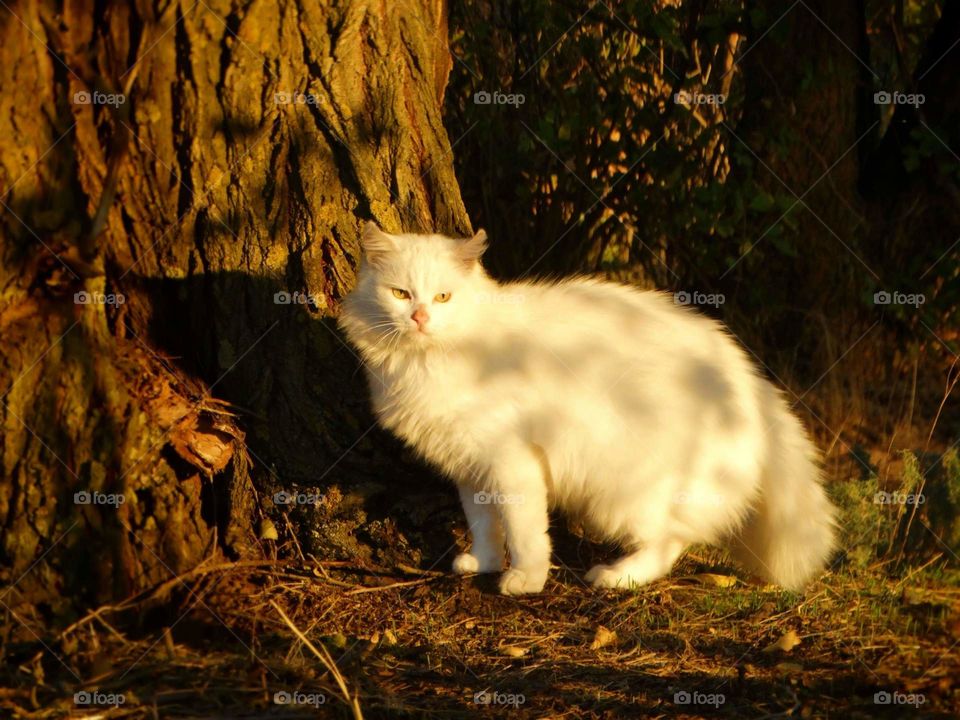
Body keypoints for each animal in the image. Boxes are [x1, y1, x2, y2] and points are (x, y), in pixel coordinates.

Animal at [342, 225, 836, 596]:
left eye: (443, 298)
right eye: (401, 294)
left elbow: (523, 530)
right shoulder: (468, 465)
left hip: (625, 492)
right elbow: (483, 523)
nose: (420, 318)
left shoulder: (511, 460)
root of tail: (751, 382)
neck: (426, 360)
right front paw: (482, 562)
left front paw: (525, 579)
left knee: (671, 540)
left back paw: (616, 577)